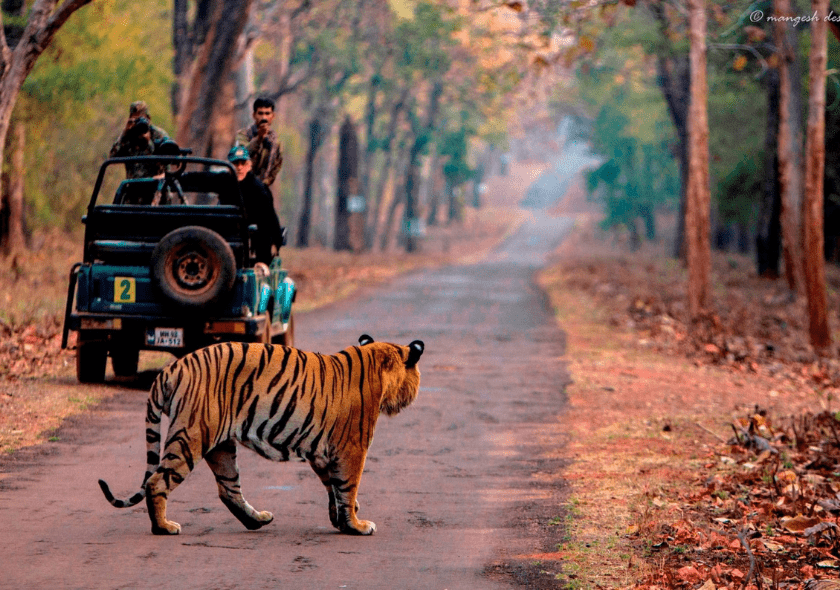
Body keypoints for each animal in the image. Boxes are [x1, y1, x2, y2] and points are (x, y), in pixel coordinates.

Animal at [98, 336, 424, 540]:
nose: (415, 392)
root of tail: (172, 368)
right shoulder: (352, 449)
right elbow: (348, 487)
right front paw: (356, 525)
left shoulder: (323, 454)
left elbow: (334, 488)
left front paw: (343, 519)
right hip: (191, 436)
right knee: (157, 481)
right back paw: (163, 527)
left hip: (221, 446)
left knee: (228, 489)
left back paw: (258, 520)